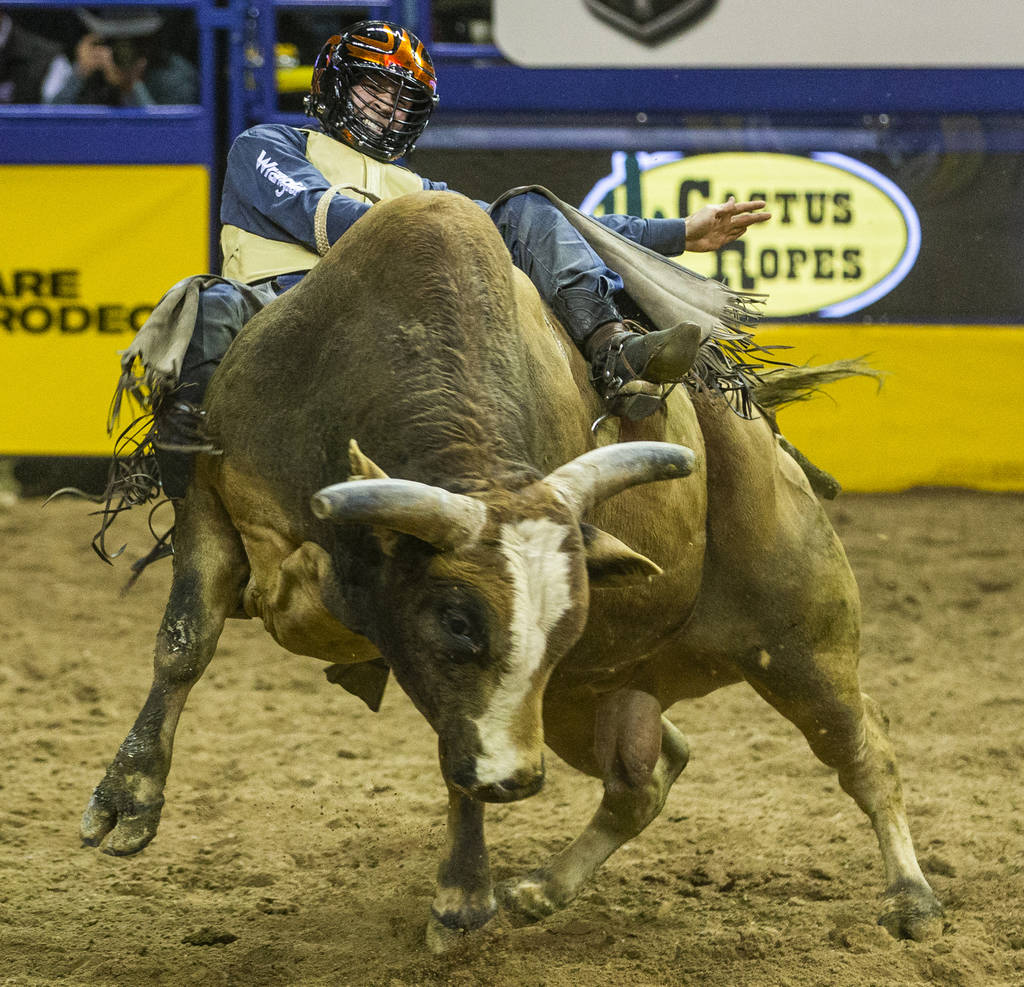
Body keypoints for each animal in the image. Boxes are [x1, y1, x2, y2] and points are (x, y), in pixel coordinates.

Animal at [79, 189, 942, 954]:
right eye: (459, 618)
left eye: (565, 622)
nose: (517, 781)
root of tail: (760, 431)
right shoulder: (212, 503)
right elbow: (184, 642)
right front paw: (125, 800)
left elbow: (453, 740)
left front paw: (462, 899)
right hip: (587, 695)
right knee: (648, 775)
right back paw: (540, 889)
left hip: (798, 638)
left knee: (865, 751)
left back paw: (914, 898)